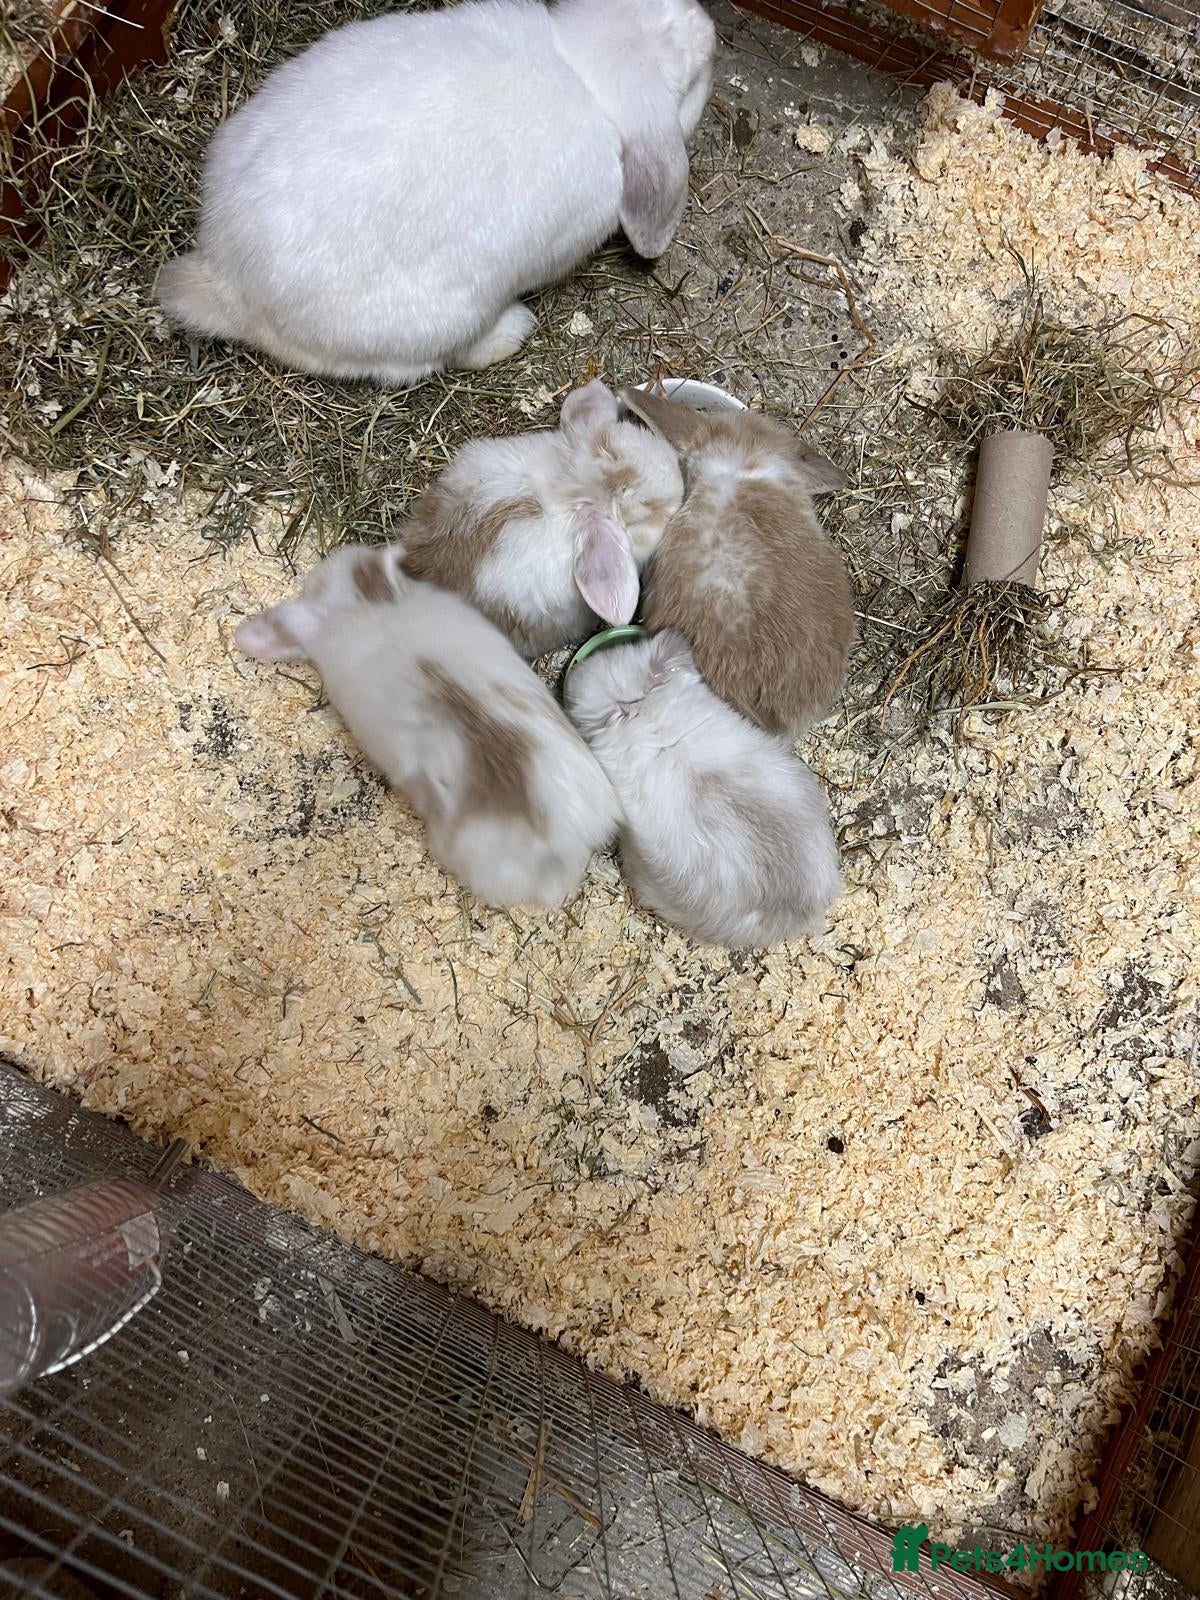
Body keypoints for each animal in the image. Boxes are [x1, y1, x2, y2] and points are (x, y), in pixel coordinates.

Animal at [156, 0, 716, 385]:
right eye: (694, 78)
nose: (709, 22)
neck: (581, 70)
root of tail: (227, 282)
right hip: (447, 319)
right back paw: (513, 330)